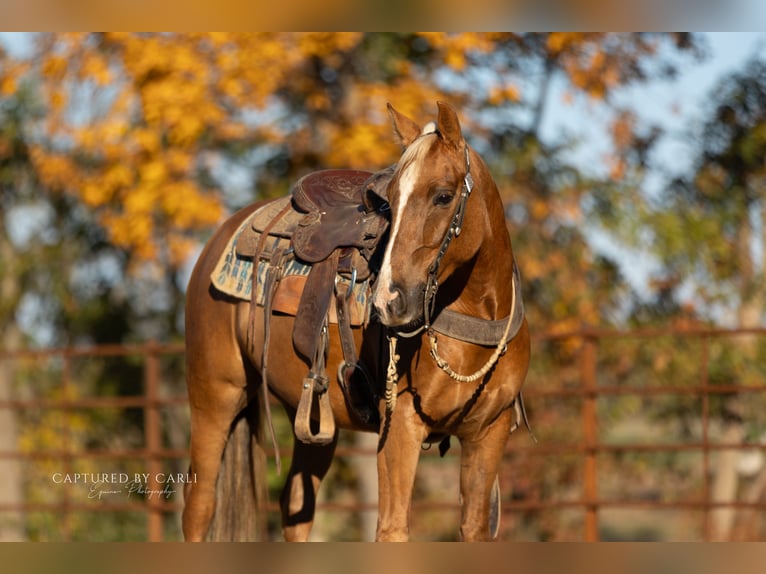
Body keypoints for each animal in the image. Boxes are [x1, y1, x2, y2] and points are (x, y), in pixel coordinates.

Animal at [181, 101, 530, 542]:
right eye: (390, 201)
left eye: (443, 196)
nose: (389, 300)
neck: (474, 323)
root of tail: (219, 238)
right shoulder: (400, 428)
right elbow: (392, 529)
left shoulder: (489, 433)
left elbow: (473, 527)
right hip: (214, 397)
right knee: (199, 507)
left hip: (309, 417)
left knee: (296, 506)